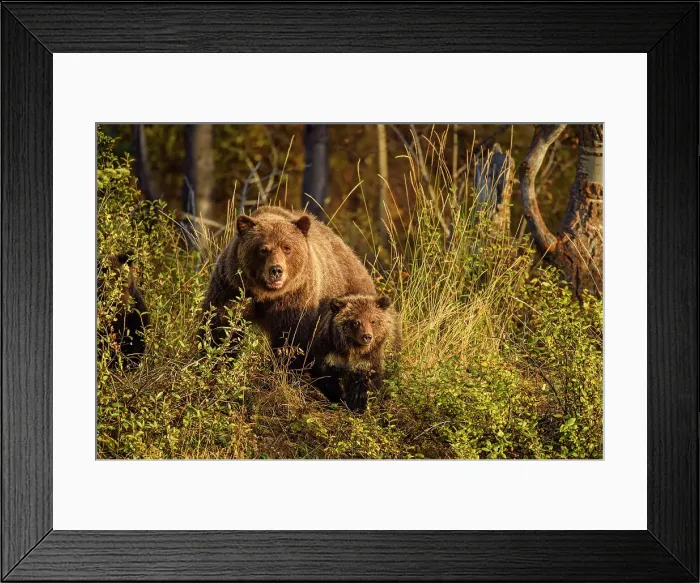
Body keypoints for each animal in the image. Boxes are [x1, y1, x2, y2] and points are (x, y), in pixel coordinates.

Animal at [199, 205, 375, 365]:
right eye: (263, 249)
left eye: (287, 248)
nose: (276, 270)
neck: (265, 294)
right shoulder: (232, 287)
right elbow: (221, 325)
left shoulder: (295, 295)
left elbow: (291, 336)